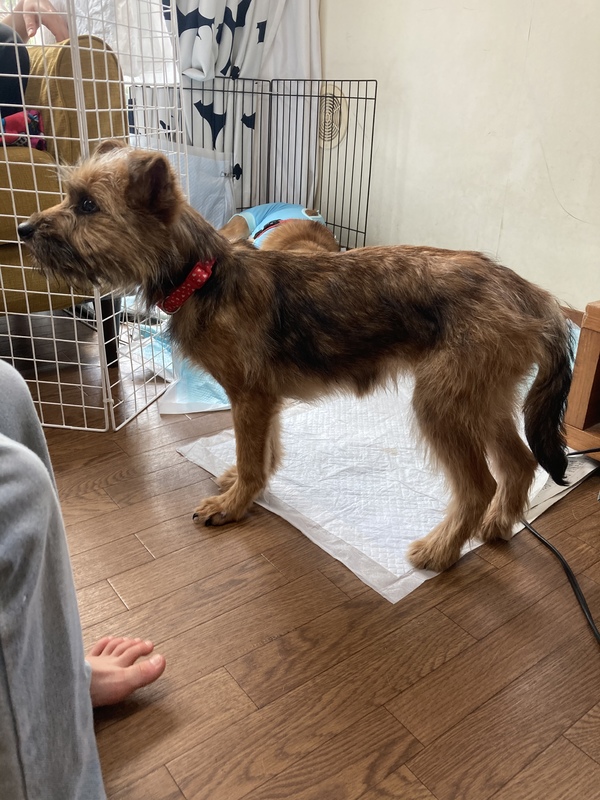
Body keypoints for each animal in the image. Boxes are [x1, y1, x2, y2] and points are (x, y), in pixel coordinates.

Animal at [18, 141, 573, 572]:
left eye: (87, 206)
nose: (22, 229)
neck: (206, 274)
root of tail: (531, 294)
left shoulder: (249, 397)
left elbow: (251, 454)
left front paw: (233, 504)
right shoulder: (263, 401)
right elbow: (262, 453)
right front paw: (244, 486)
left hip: (443, 403)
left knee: (479, 485)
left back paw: (441, 550)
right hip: (484, 398)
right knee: (521, 462)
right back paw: (498, 525)